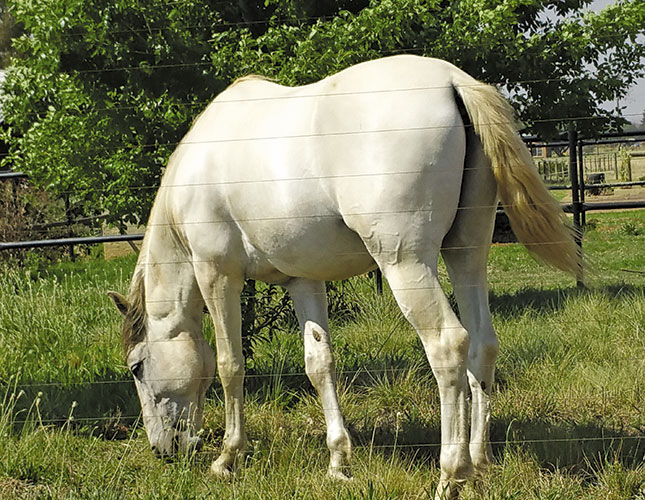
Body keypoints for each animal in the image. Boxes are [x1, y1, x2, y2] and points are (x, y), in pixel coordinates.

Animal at [107, 54, 580, 496]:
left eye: (136, 367)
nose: (162, 450)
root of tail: (452, 80)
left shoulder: (218, 275)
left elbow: (229, 365)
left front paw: (227, 457)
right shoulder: (303, 282)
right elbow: (319, 364)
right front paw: (338, 462)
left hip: (406, 263)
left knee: (448, 346)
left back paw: (451, 475)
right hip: (466, 253)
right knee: (483, 343)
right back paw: (479, 463)